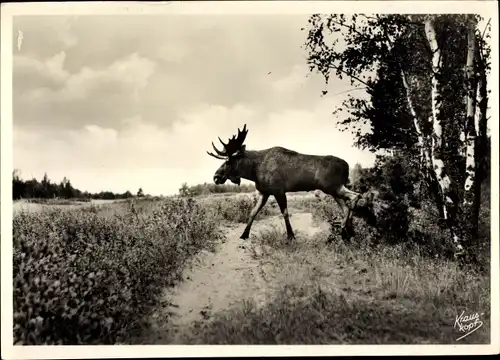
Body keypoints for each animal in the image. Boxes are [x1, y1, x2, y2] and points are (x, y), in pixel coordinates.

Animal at [206, 124, 376, 242]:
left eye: (228, 161)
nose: (216, 177)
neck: (254, 171)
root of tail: (347, 166)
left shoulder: (278, 190)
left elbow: (285, 213)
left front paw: (291, 236)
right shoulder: (264, 192)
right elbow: (253, 212)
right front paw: (244, 235)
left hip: (332, 187)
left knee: (355, 197)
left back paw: (345, 230)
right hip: (333, 190)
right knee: (346, 205)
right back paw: (347, 233)